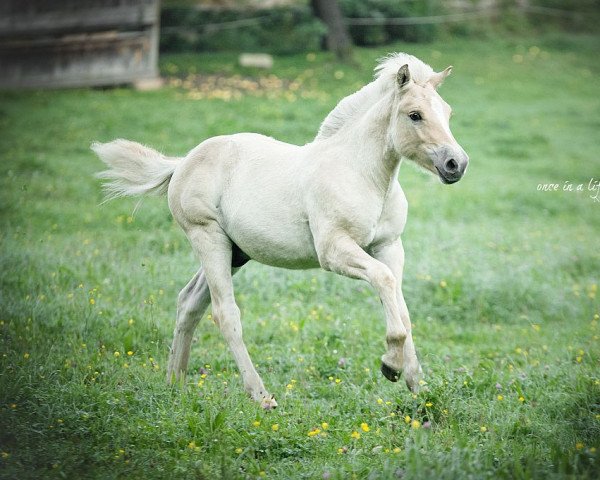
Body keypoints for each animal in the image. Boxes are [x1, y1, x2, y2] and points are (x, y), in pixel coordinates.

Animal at [94, 55, 468, 408]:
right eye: (415, 115)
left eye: (448, 112)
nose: (456, 164)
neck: (361, 173)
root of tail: (182, 162)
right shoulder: (334, 250)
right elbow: (385, 282)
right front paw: (390, 364)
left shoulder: (389, 246)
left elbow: (401, 306)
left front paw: (416, 382)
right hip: (208, 238)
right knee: (224, 313)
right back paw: (261, 396)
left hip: (235, 252)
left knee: (189, 303)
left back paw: (175, 385)